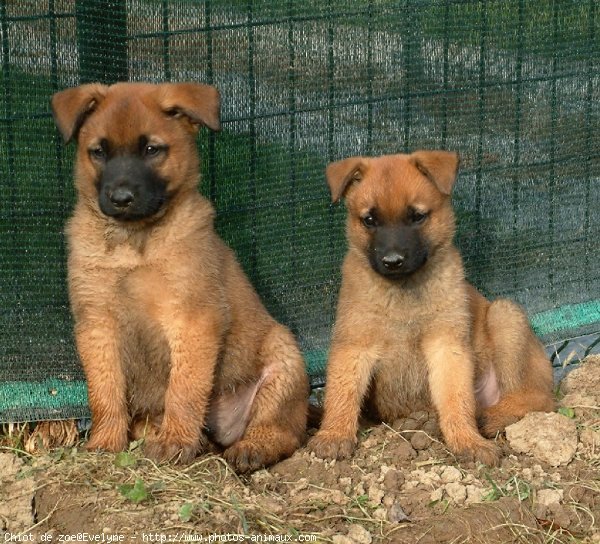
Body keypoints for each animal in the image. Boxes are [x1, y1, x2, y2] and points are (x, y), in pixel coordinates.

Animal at [51, 82, 310, 472]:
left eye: (152, 150)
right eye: (98, 152)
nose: (121, 198)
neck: (134, 244)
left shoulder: (192, 319)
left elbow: (184, 388)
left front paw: (175, 442)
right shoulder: (96, 323)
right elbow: (104, 388)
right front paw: (106, 441)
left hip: (284, 360)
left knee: (284, 429)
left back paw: (253, 446)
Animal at [310, 152, 552, 464]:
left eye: (417, 217)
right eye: (370, 220)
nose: (392, 261)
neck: (403, 291)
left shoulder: (447, 347)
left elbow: (456, 398)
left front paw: (467, 440)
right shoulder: (354, 344)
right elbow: (342, 393)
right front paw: (334, 434)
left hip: (505, 316)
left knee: (538, 398)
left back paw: (491, 416)